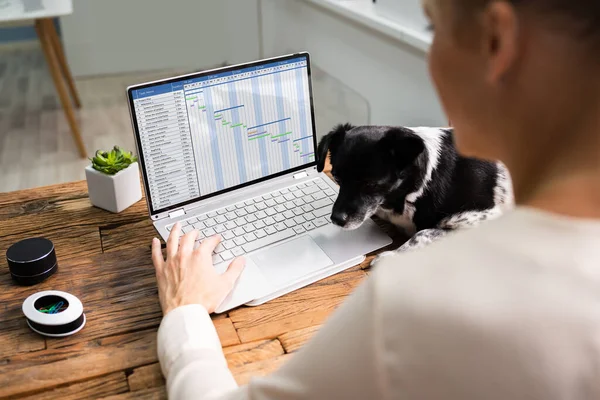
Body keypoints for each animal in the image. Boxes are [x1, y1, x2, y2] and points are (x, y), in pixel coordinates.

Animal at [316, 123, 512, 264]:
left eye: (371, 184)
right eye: (336, 177)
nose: (336, 220)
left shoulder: (486, 216)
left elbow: (422, 234)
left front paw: (391, 256)